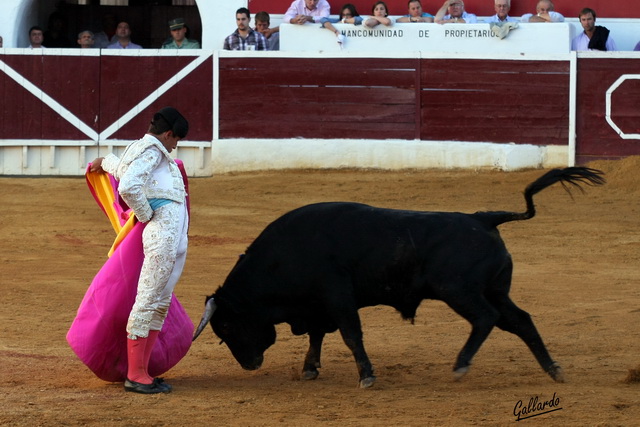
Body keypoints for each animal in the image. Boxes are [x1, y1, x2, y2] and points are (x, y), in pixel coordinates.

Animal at [192, 167, 604, 388]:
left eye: (225, 328)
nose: (249, 364)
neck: (284, 257)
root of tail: (483, 218)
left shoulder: (337, 298)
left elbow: (349, 335)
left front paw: (367, 377)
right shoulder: (319, 305)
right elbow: (317, 336)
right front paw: (310, 369)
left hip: (459, 291)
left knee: (485, 319)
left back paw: (461, 365)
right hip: (497, 291)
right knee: (521, 321)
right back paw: (554, 370)